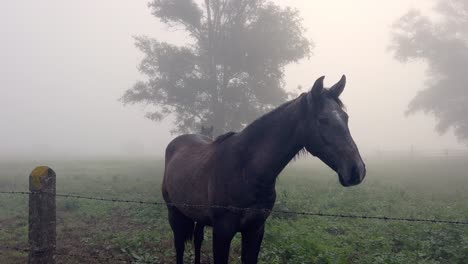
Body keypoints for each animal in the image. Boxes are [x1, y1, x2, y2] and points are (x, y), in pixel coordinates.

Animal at [163, 75, 368, 262]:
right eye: (323, 120)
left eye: (346, 117)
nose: (357, 170)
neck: (245, 170)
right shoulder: (222, 232)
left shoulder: (255, 230)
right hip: (174, 213)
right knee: (180, 246)